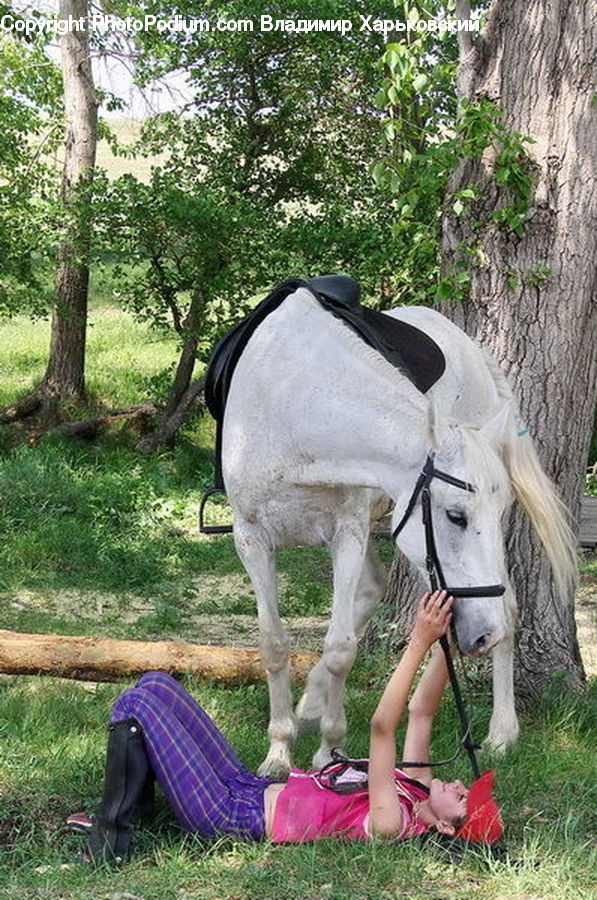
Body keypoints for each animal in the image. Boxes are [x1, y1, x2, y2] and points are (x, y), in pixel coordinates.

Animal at [220, 286, 576, 779]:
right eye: (456, 516)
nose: (482, 635)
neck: (290, 402)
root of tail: (472, 350)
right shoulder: (251, 538)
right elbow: (273, 644)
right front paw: (278, 752)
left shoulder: (347, 533)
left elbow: (340, 647)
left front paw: (330, 751)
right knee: (377, 587)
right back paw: (309, 704)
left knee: (504, 605)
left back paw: (502, 732)